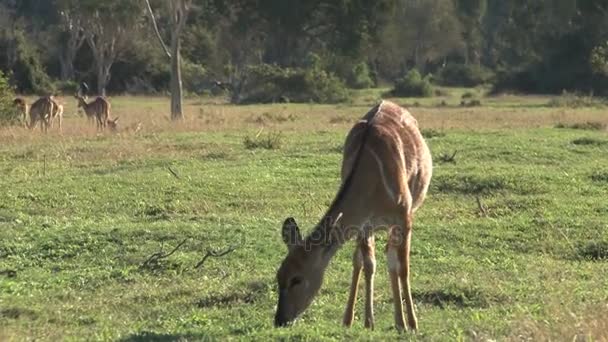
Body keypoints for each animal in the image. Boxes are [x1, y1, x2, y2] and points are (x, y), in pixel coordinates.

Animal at [274, 101, 434, 332]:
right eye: (278, 276)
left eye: (296, 279)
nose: (280, 320)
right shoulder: (363, 223)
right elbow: (368, 264)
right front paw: (368, 322)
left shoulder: (404, 217)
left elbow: (403, 267)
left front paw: (412, 324)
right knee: (366, 259)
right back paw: (352, 319)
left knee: (392, 259)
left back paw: (401, 322)